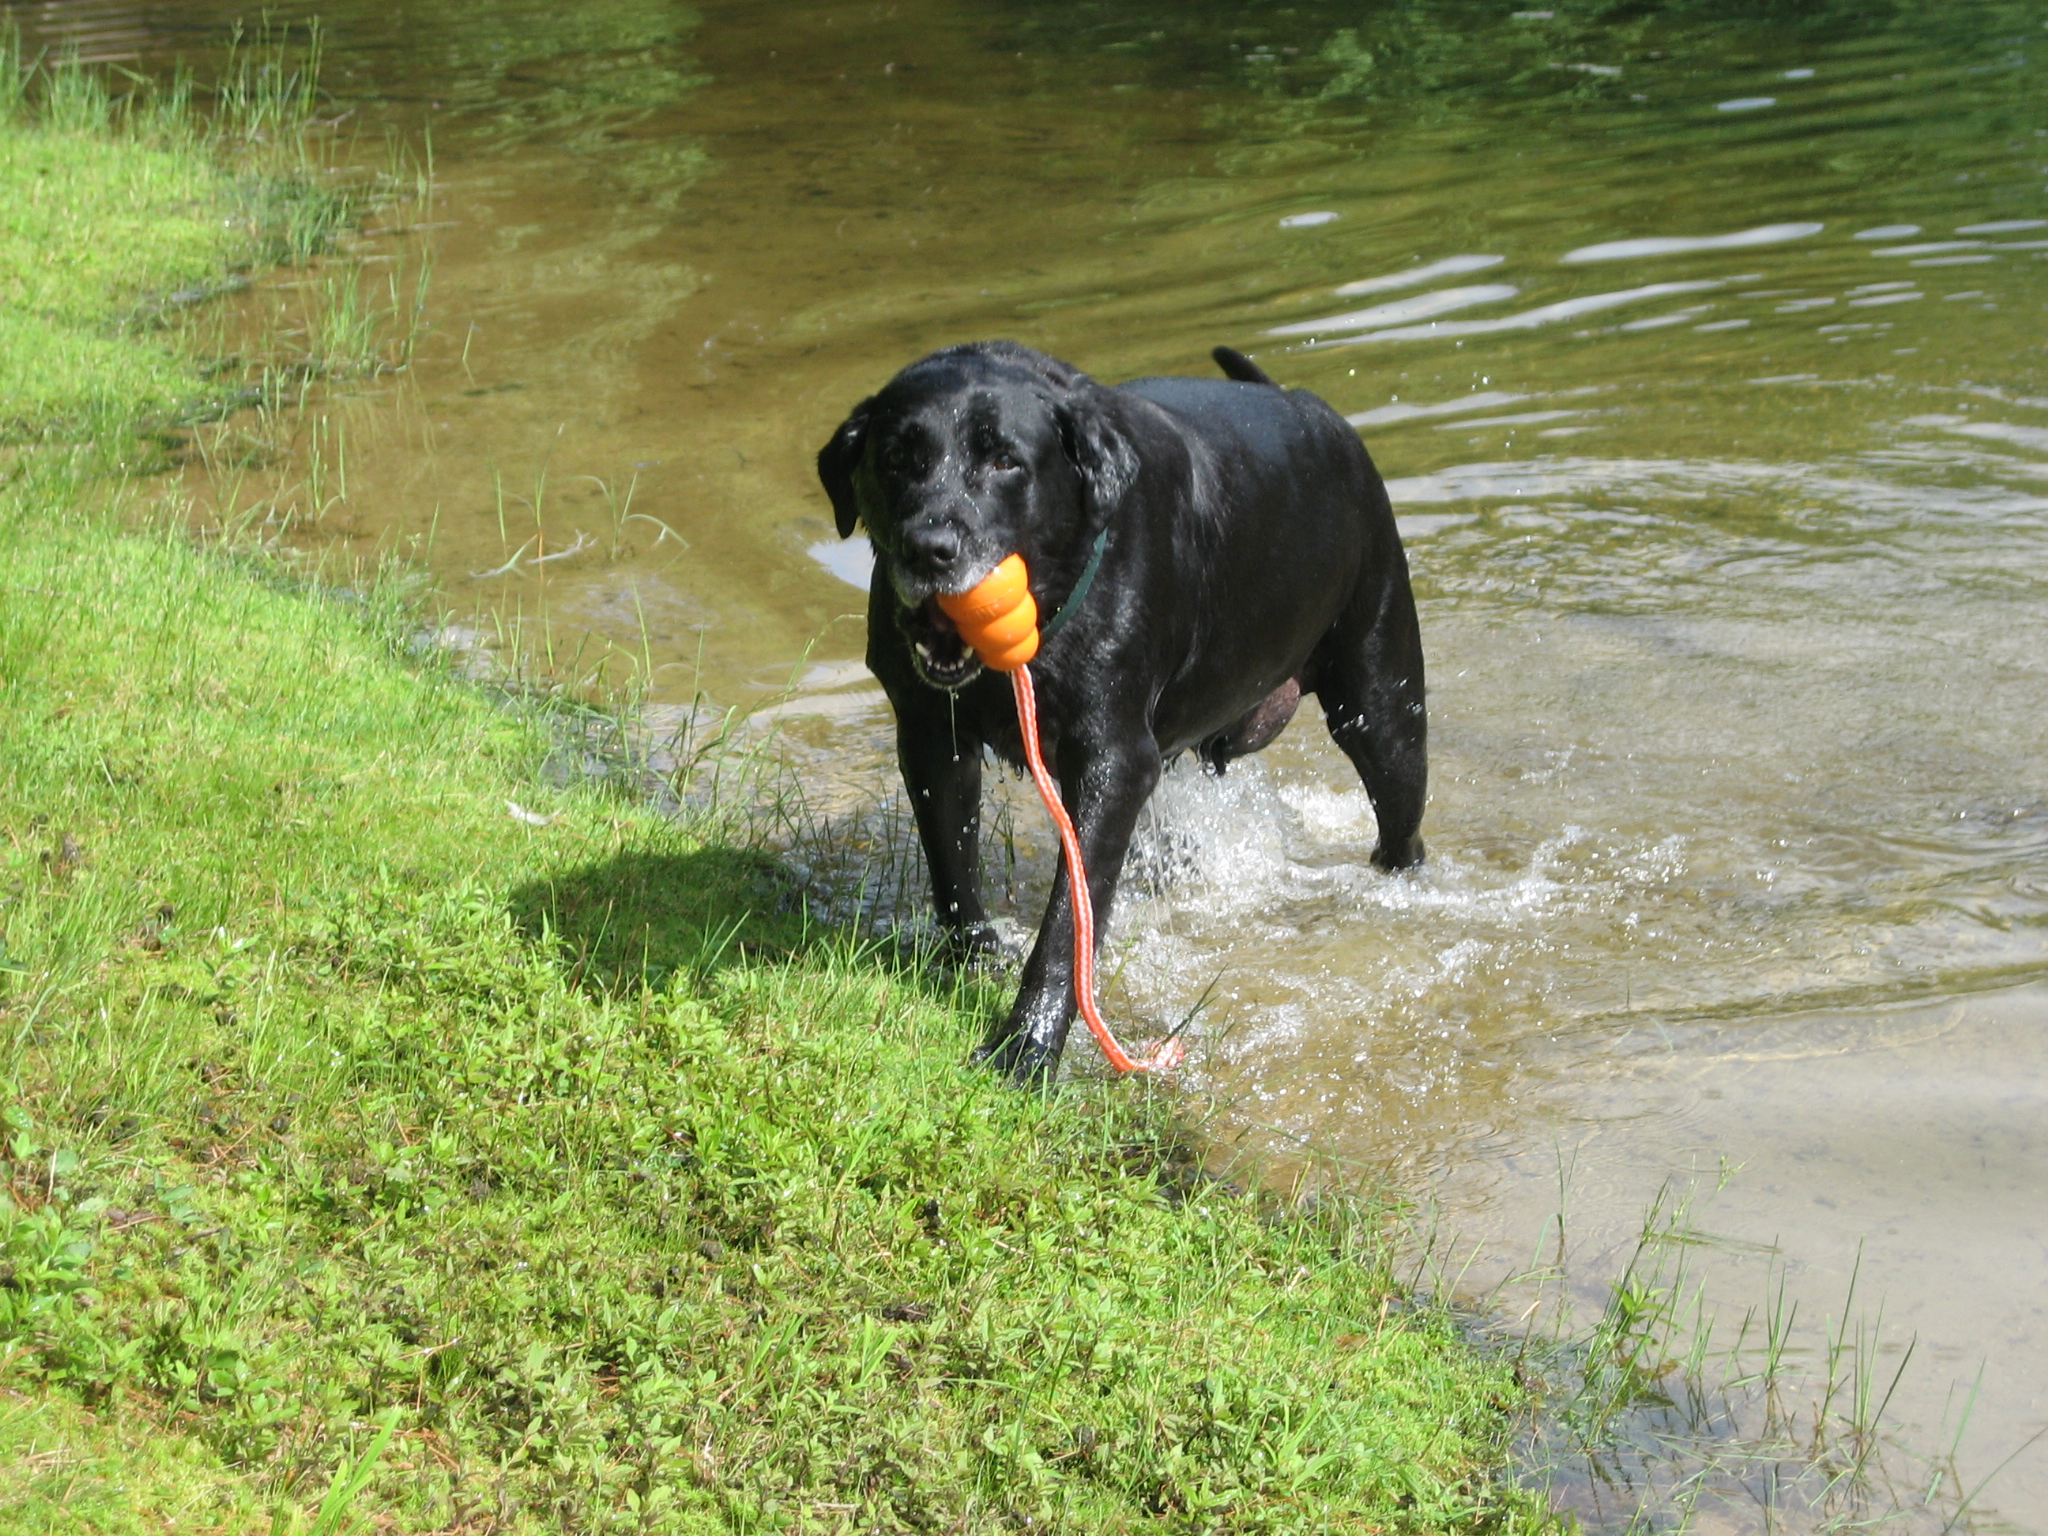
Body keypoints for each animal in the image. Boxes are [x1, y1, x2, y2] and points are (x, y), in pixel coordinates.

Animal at [818, 342, 1426, 1084]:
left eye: (1005, 460)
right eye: (897, 458)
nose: (929, 548)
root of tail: (1312, 408)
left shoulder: (1113, 760)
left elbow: (1068, 922)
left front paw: (1027, 1047)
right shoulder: (932, 736)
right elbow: (952, 868)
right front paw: (974, 966)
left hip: (1383, 702)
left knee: (1400, 818)